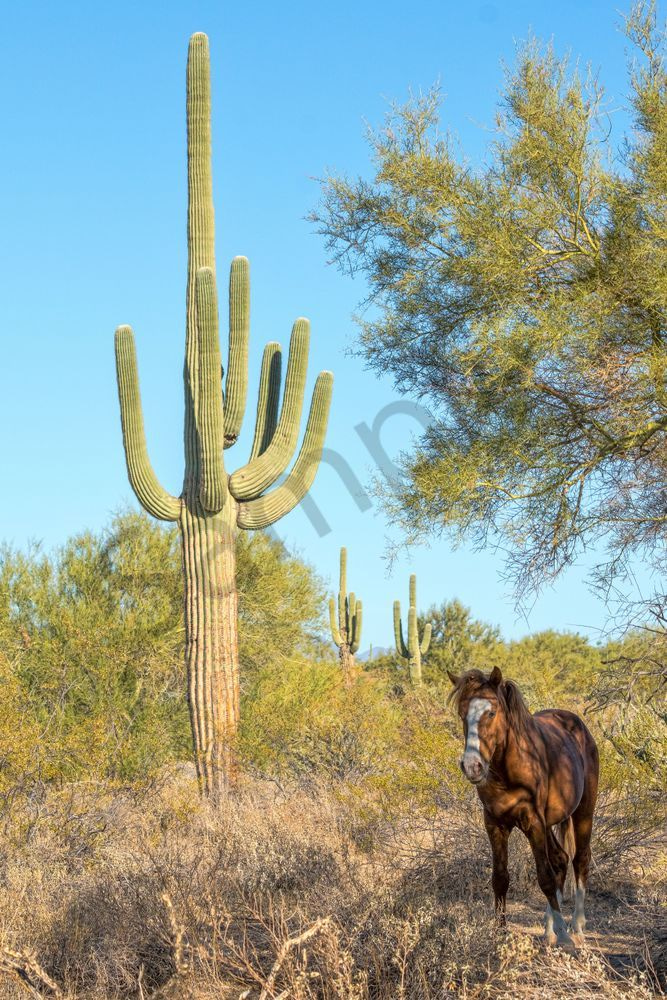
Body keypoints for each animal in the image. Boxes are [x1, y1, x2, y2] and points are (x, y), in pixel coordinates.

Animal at [447, 666, 599, 946]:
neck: (508, 769)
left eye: (491, 712)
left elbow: (545, 878)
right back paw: (549, 929)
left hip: (583, 812)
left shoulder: (533, 822)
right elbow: (500, 878)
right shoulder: (495, 824)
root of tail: (578, 726)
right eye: (462, 714)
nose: (472, 766)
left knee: (579, 859)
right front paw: (499, 932)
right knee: (561, 859)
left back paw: (576, 927)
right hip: (550, 823)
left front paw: (565, 937)